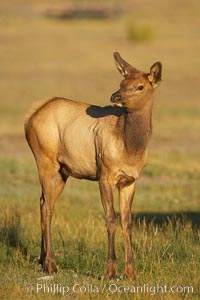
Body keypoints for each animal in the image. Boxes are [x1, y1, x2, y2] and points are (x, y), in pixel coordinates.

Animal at [25, 52, 162, 280]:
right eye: (122, 82)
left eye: (140, 86)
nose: (115, 96)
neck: (131, 148)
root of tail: (30, 115)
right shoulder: (105, 175)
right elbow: (111, 218)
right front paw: (112, 271)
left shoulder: (130, 181)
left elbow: (127, 222)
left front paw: (131, 272)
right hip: (45, 159)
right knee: (47, 206)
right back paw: (52, 263)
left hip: (63, 170)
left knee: (43, 201)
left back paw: (43, 260)